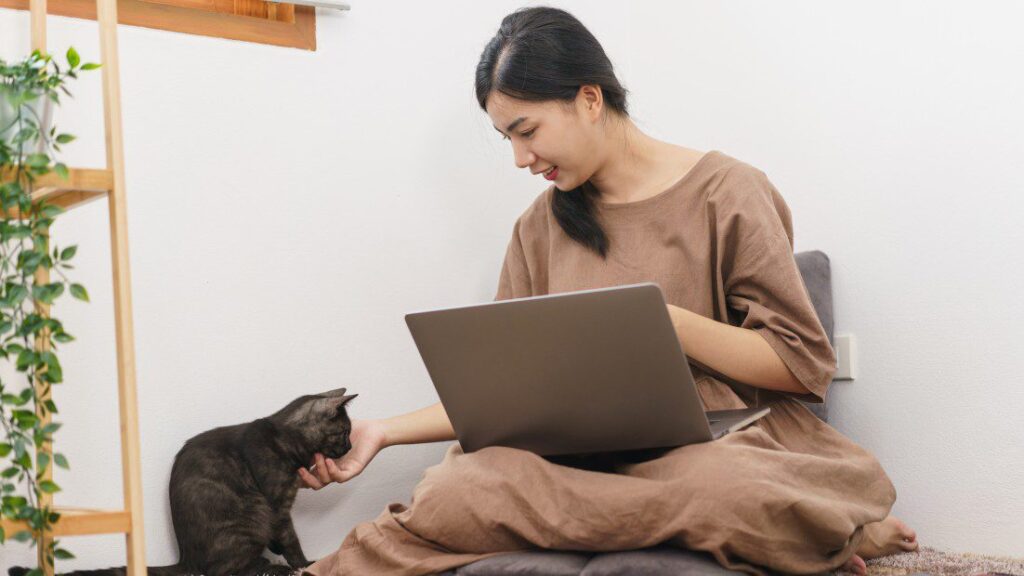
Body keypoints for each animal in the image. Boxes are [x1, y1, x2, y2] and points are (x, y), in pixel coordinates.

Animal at [8, 385, 358, 573]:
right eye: (345, 432)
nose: (352, 446)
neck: (284, 436)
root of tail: (185, 559)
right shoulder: (278, 505)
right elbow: (291, 540)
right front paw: (305, 564)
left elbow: (280, 538)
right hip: (250, 517)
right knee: (225, 570)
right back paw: (269, 566)